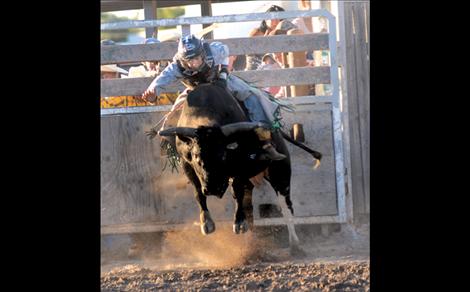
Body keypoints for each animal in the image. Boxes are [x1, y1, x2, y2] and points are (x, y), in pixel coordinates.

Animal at [152, 84, 322, 235]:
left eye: (223, 155)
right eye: (195, 157)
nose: (213, 189)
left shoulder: (240, 167)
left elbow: (237, 190)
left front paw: (239, 223)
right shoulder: (186, 164)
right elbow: (198, 191)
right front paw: (206, 222)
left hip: (280, 172)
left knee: (286, 206)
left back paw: (295, 244)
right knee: (250, 202)